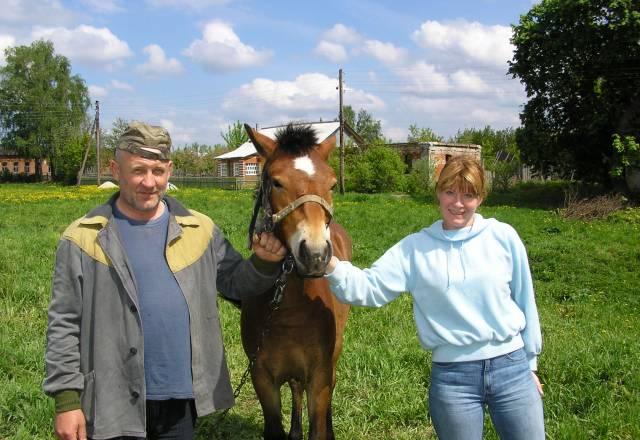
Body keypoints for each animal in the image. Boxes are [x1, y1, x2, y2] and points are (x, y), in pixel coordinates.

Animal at [240, 123, 351, 440]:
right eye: (277, 183)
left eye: (332, 184)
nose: (315, 255)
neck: (288, 307)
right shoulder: (262, 378)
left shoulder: (320, 377)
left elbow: (319, 428)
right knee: (295, 387)